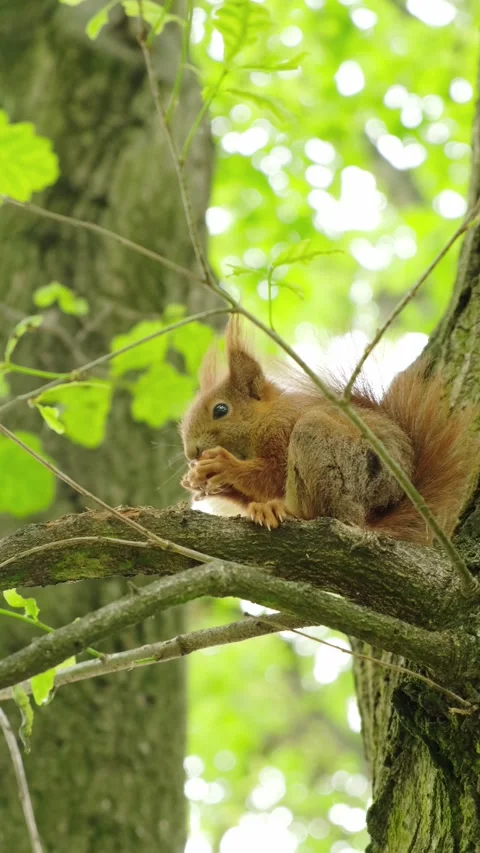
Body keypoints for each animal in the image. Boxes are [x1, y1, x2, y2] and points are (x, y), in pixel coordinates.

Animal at [180, 317, 477, 544]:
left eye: (221, 410)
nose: (191, 452)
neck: (262, 420)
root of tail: (366, 519)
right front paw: (200, 480)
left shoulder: (282, 429)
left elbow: (271, 475)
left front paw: (223, 465)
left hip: (326, 451)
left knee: (325, 513)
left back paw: (284, 510)